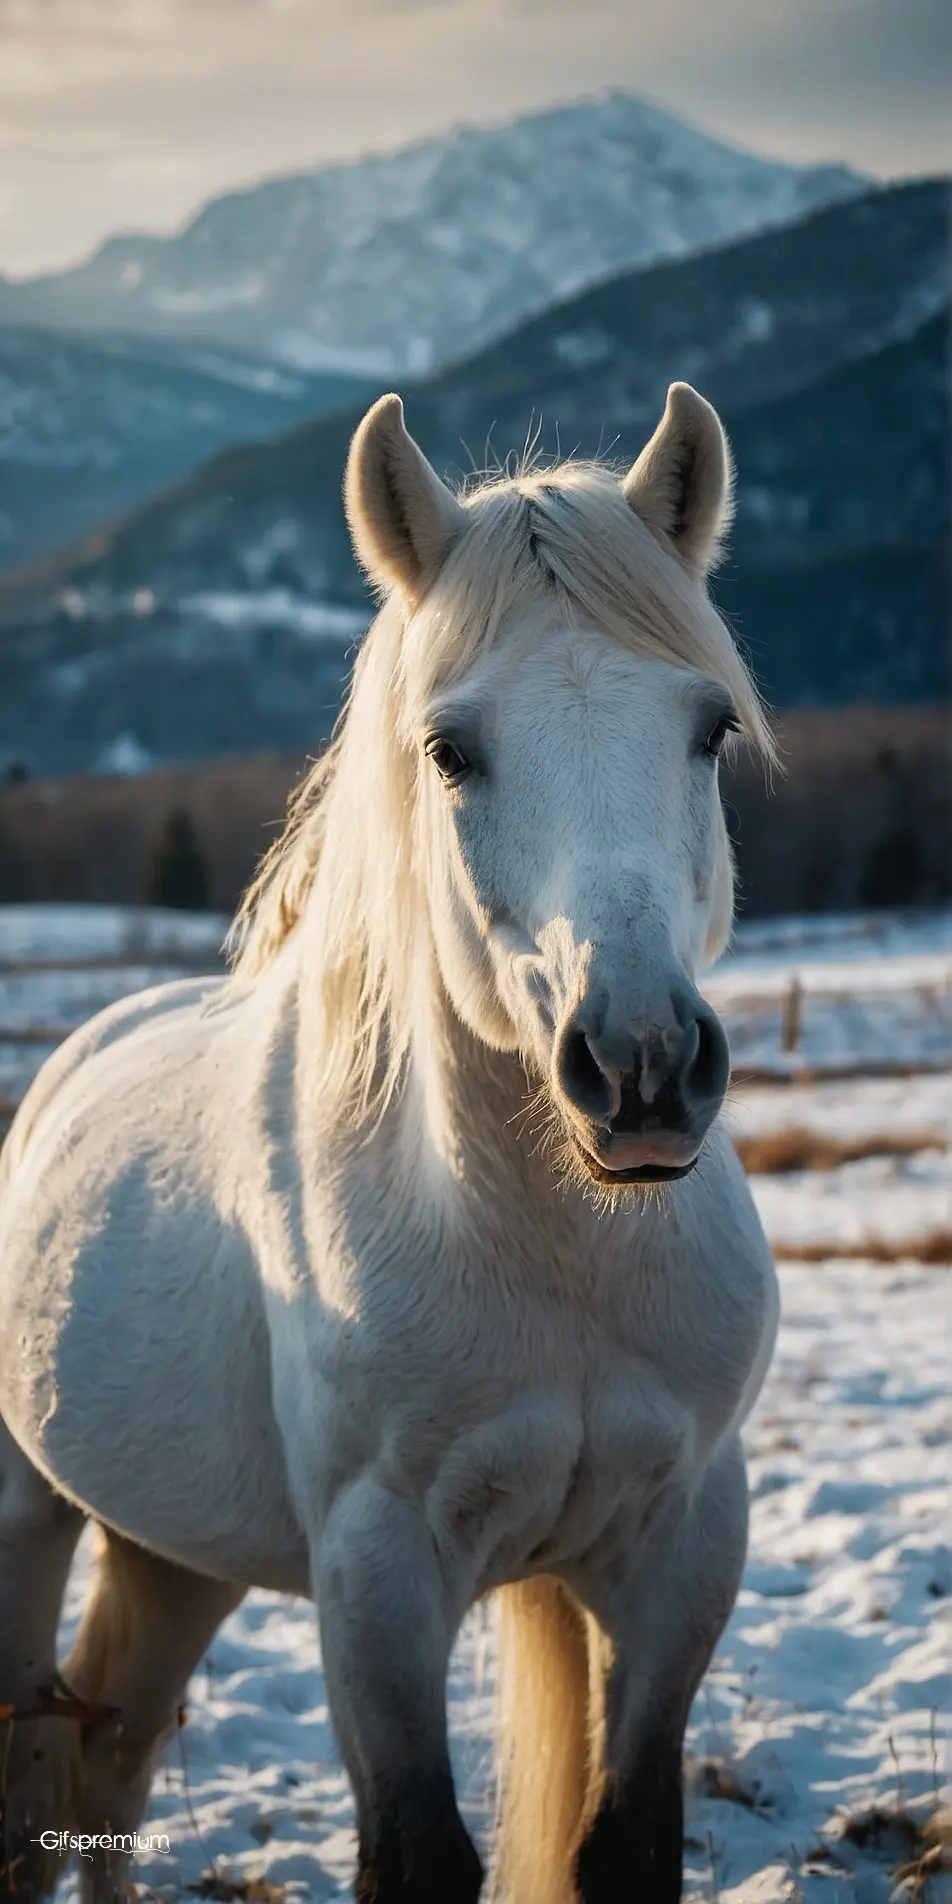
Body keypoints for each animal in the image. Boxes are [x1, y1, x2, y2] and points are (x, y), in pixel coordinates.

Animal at [0, 386, 780, 1904]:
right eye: (449, 749)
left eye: (708, 727)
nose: (643, 1068)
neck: (560, 1259)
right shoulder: (378, 1570)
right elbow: (414, 1849)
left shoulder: (680, 1544)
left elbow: (625, 1839)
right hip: (27, 1522)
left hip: (174, 1551)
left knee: (104, 1757)